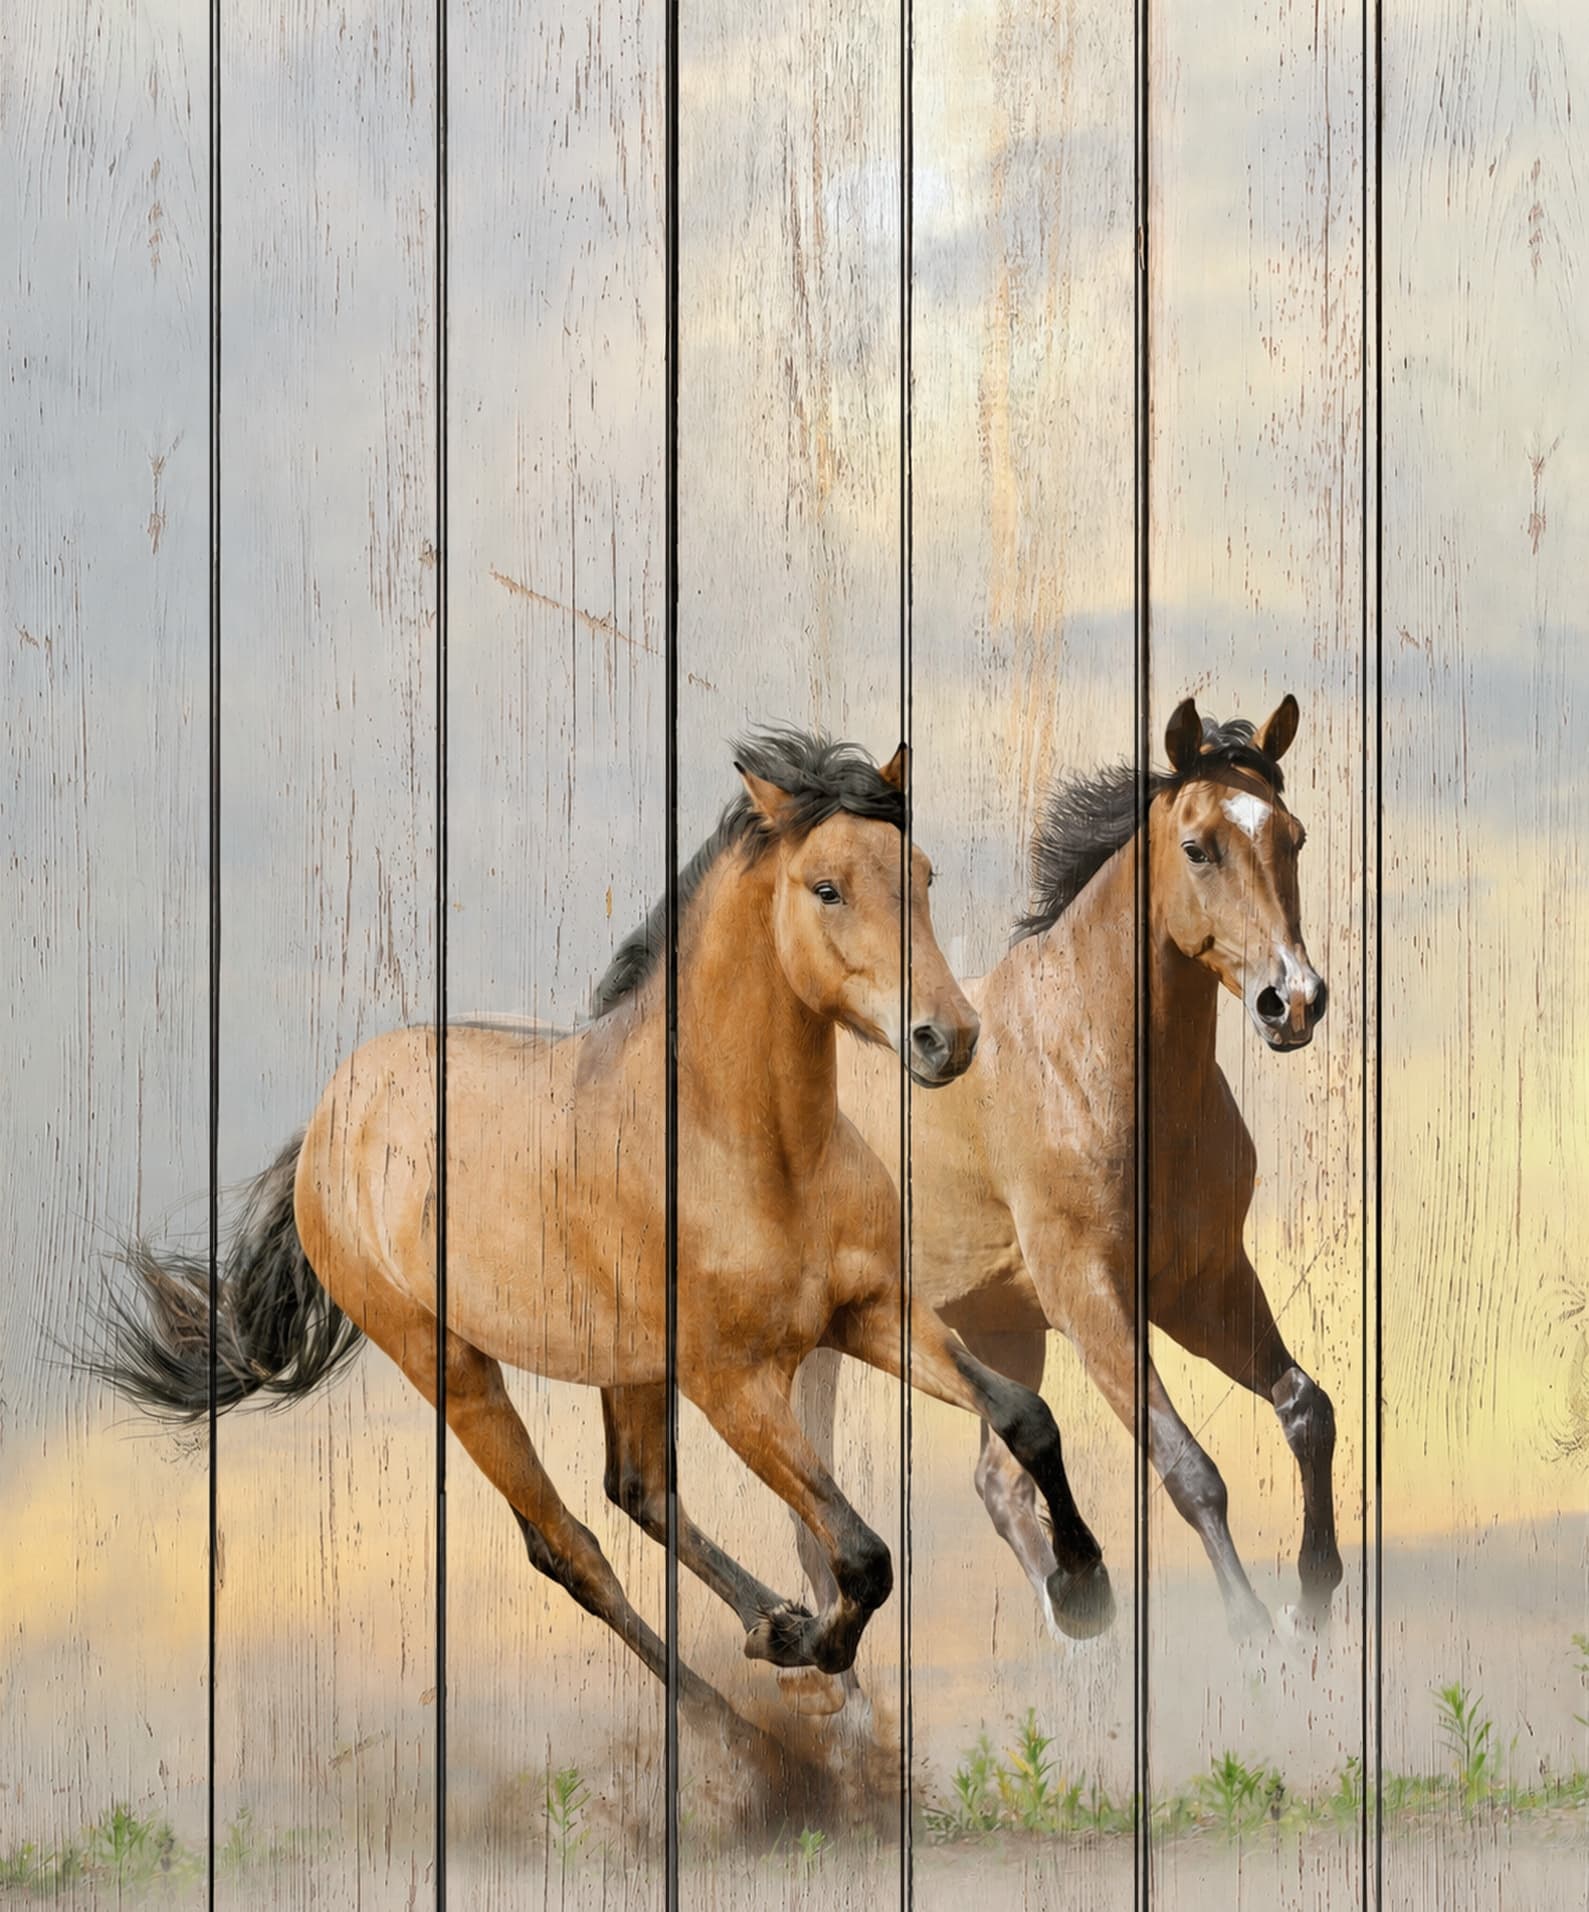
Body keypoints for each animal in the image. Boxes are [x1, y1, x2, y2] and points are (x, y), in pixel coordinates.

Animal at [93, 727, 1114, 1747]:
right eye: (826, 888)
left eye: (923, 874)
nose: (949, 1038)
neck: (748, 1150)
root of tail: (326, 1123)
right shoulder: (733, 1384)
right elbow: (862, 1552)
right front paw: (809, 1647)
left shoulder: (869, 1313)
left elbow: (1024, 1416)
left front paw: (1086, 1593)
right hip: (449, 1367)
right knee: (571, 1548)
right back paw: (732, 1730)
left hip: (625, 1363)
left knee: (640, 1492)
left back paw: (765, 1626)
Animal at [792, 696, 1340, 1706]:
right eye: (1198, 847)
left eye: (1292, 836)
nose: (1293, 1002)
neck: (1094, 1058)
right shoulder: (1090, 1296)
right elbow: (1188, 1467)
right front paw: (1250, 1633)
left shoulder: (1200, 1287)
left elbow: (1305, 1409)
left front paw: (1312, 1601)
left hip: (998, 1324)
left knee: (998, 1482)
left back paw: (1074, 1629)